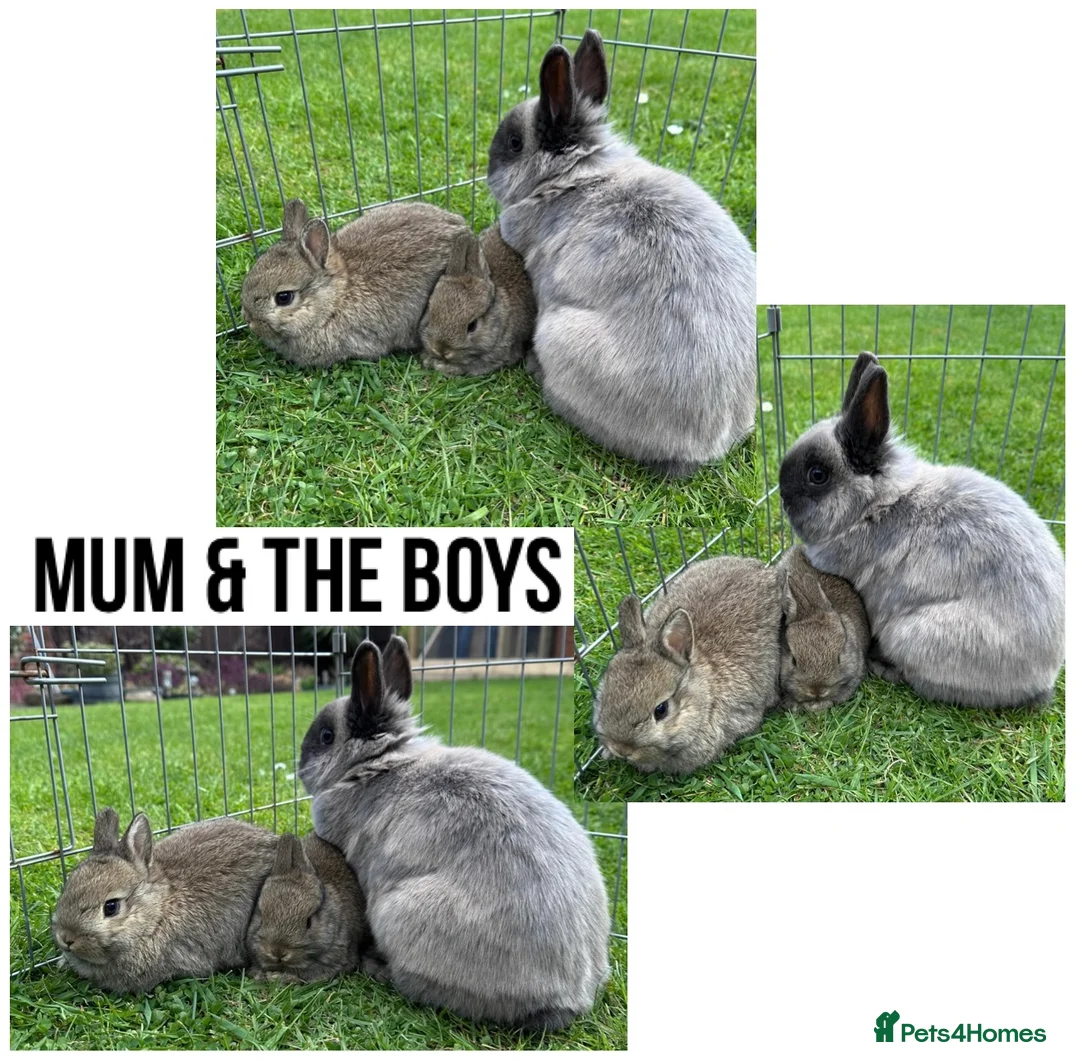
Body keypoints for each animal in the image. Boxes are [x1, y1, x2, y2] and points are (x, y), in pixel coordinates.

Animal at [297, 637, 610, 1031]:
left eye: (326, 736)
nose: (299, 764)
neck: (377, 764)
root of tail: (572, 998)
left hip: (395, 914)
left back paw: (377, 967)